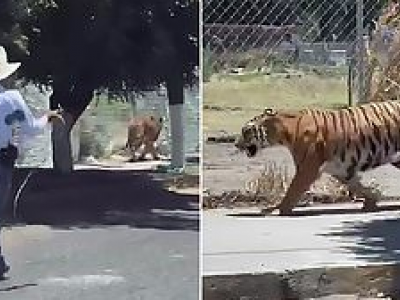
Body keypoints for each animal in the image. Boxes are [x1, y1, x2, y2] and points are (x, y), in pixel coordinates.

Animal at [234, 101, 400, 216]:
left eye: (246, 131)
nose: (236, 144)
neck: (285, 132)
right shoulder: (341, 170)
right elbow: (357, 186)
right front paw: (372, 200)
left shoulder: (307, 169)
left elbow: (292, 191)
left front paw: (277, 209)